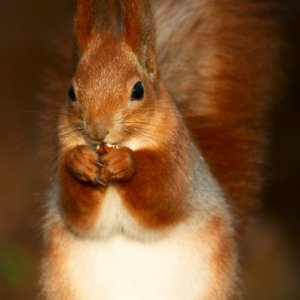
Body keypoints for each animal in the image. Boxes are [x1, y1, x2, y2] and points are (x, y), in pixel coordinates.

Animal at [40, 0, 284, 300]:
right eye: (71, 92)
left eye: (138, 90)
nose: (97, 132)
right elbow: (77, 213)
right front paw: (80, 162)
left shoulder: (180, 165)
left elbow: (162, 196)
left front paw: (126, 163)